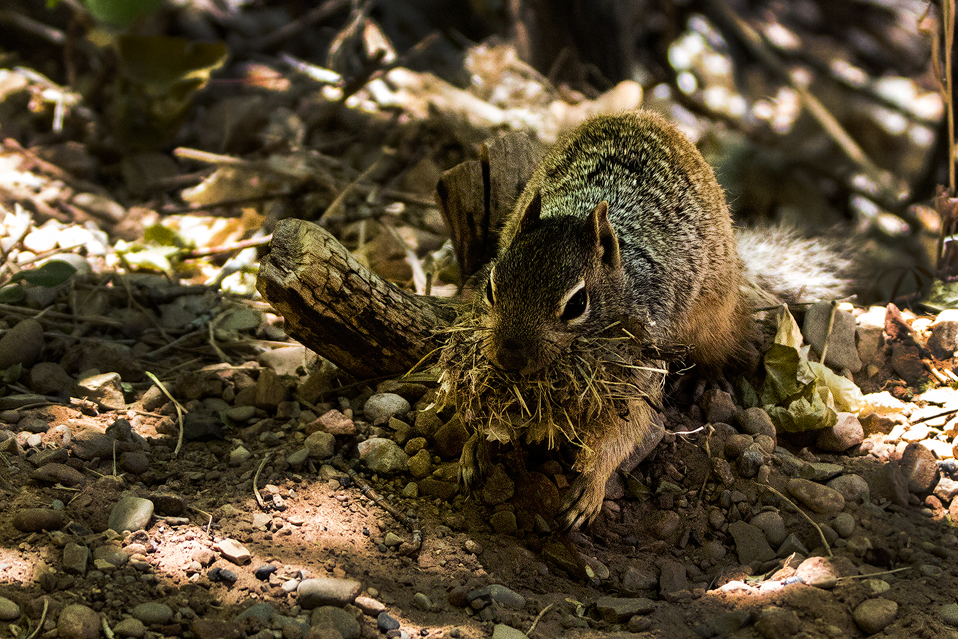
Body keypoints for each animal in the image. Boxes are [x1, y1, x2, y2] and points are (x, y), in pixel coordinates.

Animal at [464, 109, 848, 528]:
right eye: (491, 286)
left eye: (577, 303)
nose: (509, 357)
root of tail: (645, 114)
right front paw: (474, 446)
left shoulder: (639, 371)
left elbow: (625, 432)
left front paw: (589, 488)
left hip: (713, 316)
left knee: (720, 346)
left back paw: (701, 377)